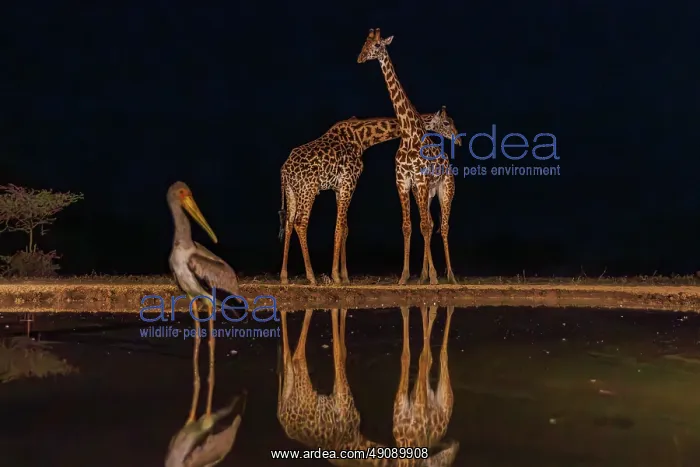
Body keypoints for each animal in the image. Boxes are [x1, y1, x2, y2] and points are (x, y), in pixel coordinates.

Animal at [279, 110, 460, 286]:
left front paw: (344, 277)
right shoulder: (349, 181)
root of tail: (284, 172)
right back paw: (311, 277)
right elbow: (338, 228)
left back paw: (284, 277)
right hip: (308, 189)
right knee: (300, 223)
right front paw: (336, 277)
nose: (458, 140)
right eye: (446, 123)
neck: (362, 138)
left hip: (292, 192)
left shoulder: (340, 188)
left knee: (288, 223)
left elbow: (344, 228)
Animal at [358, 29, 461, 285]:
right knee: (431, 223)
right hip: (425, 192)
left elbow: (424, 226)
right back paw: (424, 275)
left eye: (377, 45)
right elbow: (408, 226)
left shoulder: (421, 181)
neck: (408, 132)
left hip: (445, 190)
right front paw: (405, 276)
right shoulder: (404, 182)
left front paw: (433, 277)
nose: (360, 58)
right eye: (364, 44)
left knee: (443, 226)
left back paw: (450, 276)